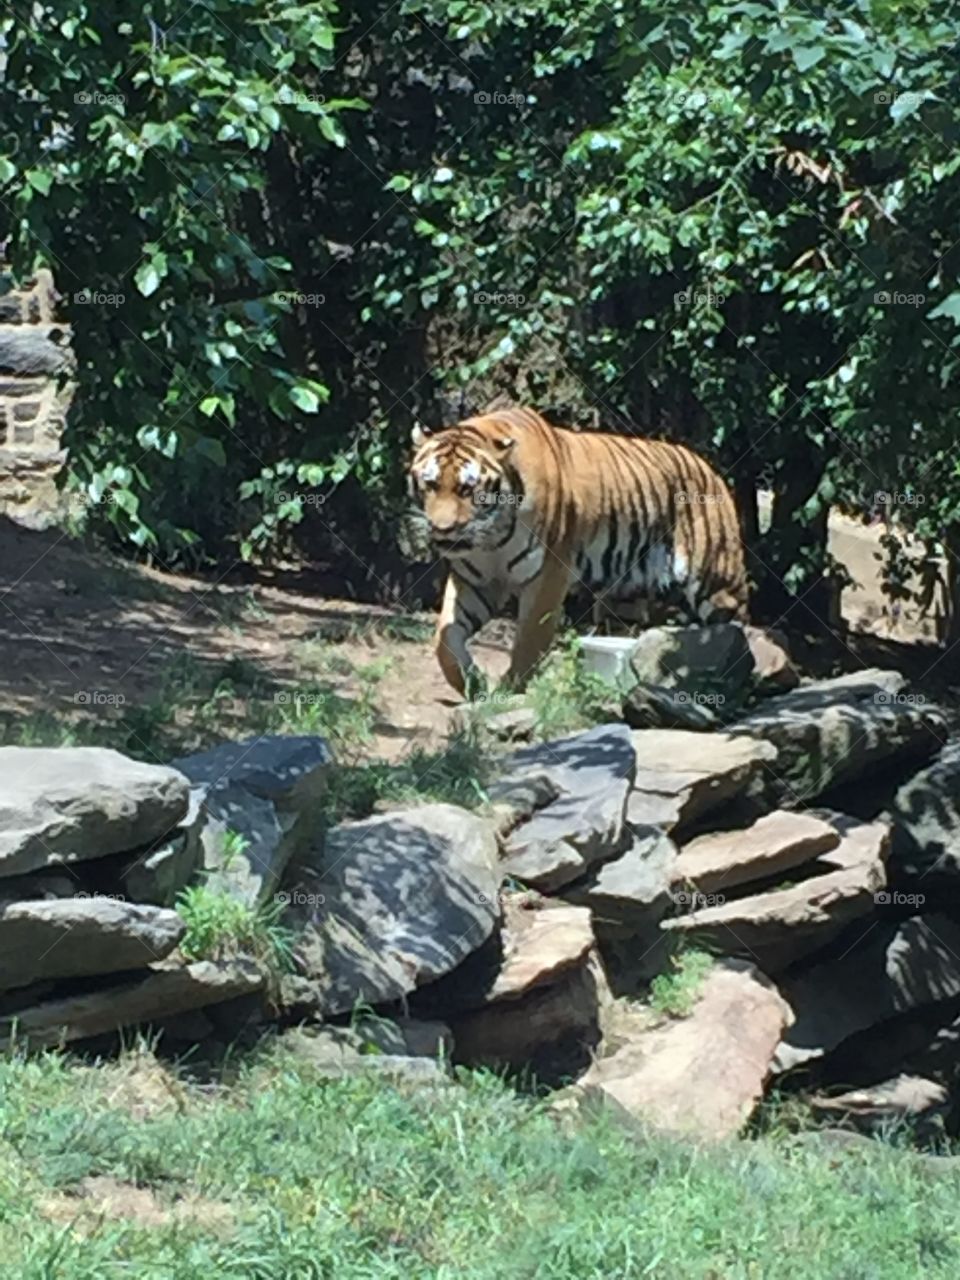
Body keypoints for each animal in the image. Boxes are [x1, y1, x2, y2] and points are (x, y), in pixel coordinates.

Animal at [407, 406, 748, 696]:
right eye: (431, 485)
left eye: (467, 489)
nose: (443, 529)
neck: (490, 539)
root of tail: (709, 468)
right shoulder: (475, 580)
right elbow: (445, 637)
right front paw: (471, 682)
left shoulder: (548, 575)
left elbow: (529, 638)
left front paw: (508, 690)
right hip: (630, 592)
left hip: (715, 578)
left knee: (737, 624)